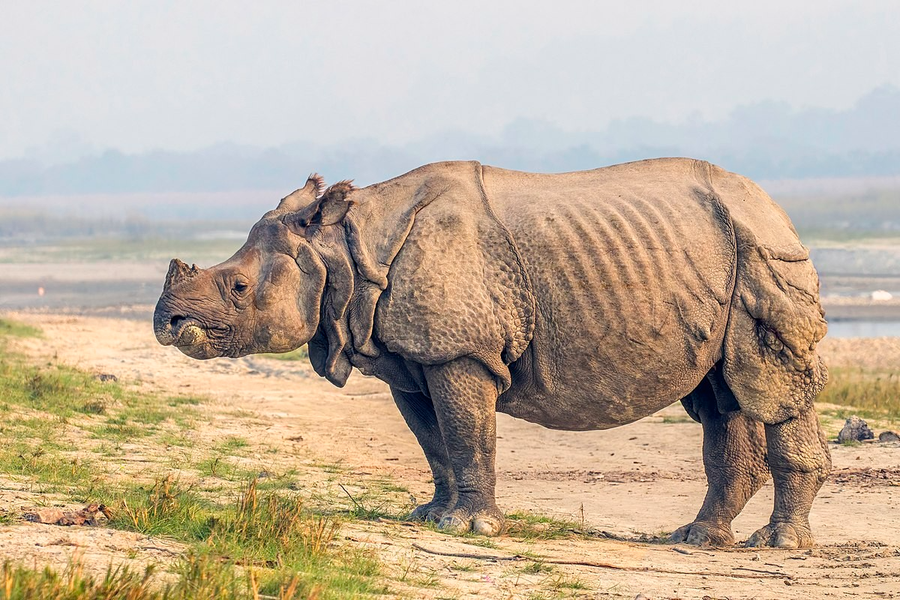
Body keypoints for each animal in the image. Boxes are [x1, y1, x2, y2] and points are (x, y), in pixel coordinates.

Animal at [154, 158, 831, 548]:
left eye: (239, 289)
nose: (169, 321)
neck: (342, 247)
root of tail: (774, 205)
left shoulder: (461, 350)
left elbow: (466, 429)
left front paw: (472, 530)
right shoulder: (412, 359)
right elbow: (435, 439)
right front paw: (432, 517)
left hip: (764, 248)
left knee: (770, 387)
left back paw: (776, 545)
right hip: (725, 253)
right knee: (720, 395)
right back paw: (698, 539)